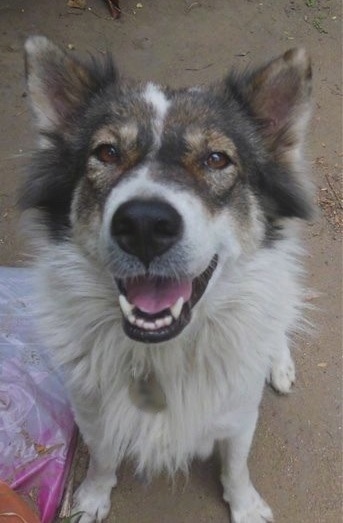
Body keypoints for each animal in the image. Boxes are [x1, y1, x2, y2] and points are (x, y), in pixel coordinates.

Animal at [20, 37, 314, 523]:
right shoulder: (91, 410)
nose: (143, 224)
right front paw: (92, 498)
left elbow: (236, 465)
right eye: (107, 153)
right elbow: (102, 459)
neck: (162, 353)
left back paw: (280, 363)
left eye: (216, 158)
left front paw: (246, 505)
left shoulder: (239, 412)